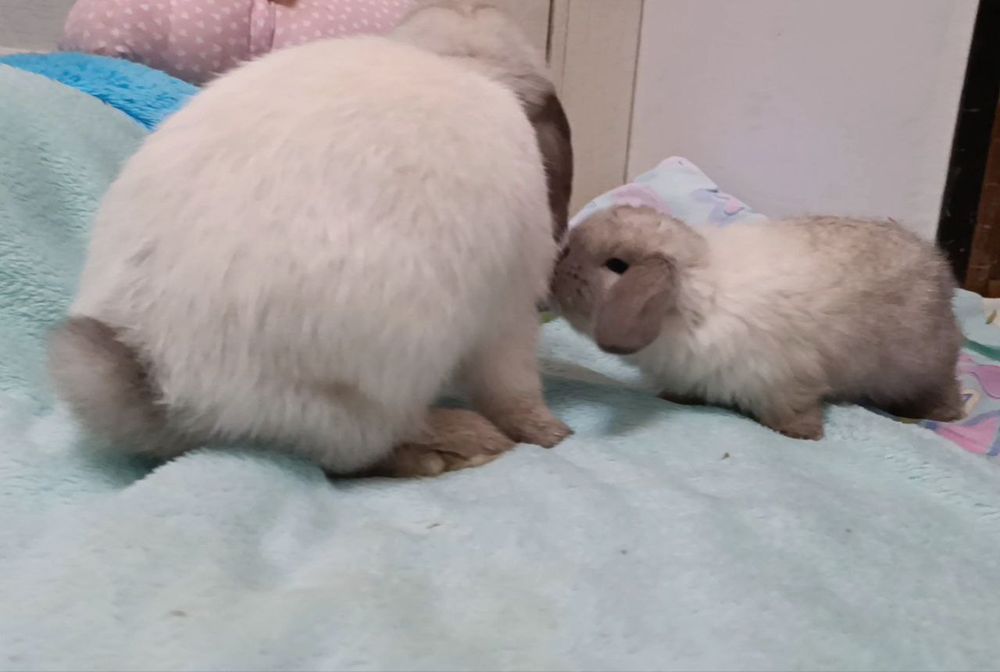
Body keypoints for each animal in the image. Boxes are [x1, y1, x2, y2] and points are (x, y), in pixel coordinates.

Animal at [48, 2, 573, 478]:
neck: (462, 60)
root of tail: (164, 379)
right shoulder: (507, 315)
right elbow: (515, 389)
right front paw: (553, 434)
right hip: (369, 393)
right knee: (362, 453)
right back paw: (460, 445)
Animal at [550, 205, 964, 440]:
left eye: (617, 265)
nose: (556, 271)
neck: (693, 299)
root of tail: (938, 268)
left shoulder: (789, 379)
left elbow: (793, 409)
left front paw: (803, 435)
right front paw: (673, 398)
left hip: (919, 364)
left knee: (944, 387)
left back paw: (945, 415)